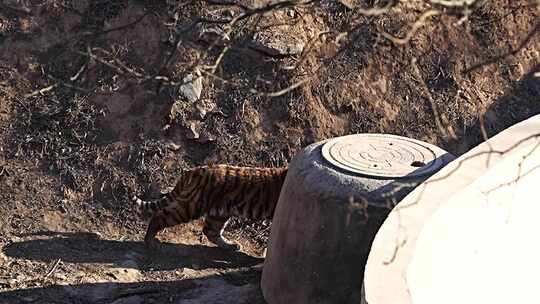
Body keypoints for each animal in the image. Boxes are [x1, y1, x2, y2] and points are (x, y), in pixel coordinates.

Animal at [132, 165, 286, 251]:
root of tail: (194, 170)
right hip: (190, 206)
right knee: (159, 217)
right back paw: (150, 243)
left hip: (220, 212)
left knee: (210, 231)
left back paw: (231, 246)